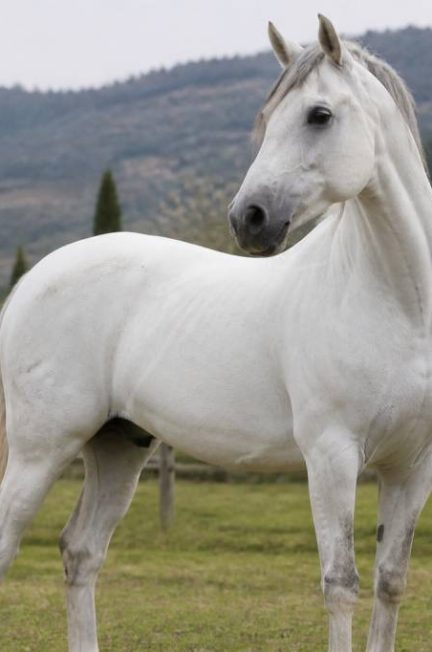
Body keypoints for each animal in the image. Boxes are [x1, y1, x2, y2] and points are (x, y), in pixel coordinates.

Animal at [0, 13, 430, 651]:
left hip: (118, 445)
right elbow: (341, 583)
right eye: (268, 117)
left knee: (80, 551)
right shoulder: (331, 455)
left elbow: (391, 582)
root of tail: (32, 279)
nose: (248, 219)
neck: (397, 305)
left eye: (319, 114)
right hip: (41, 449)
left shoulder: (411, 467)